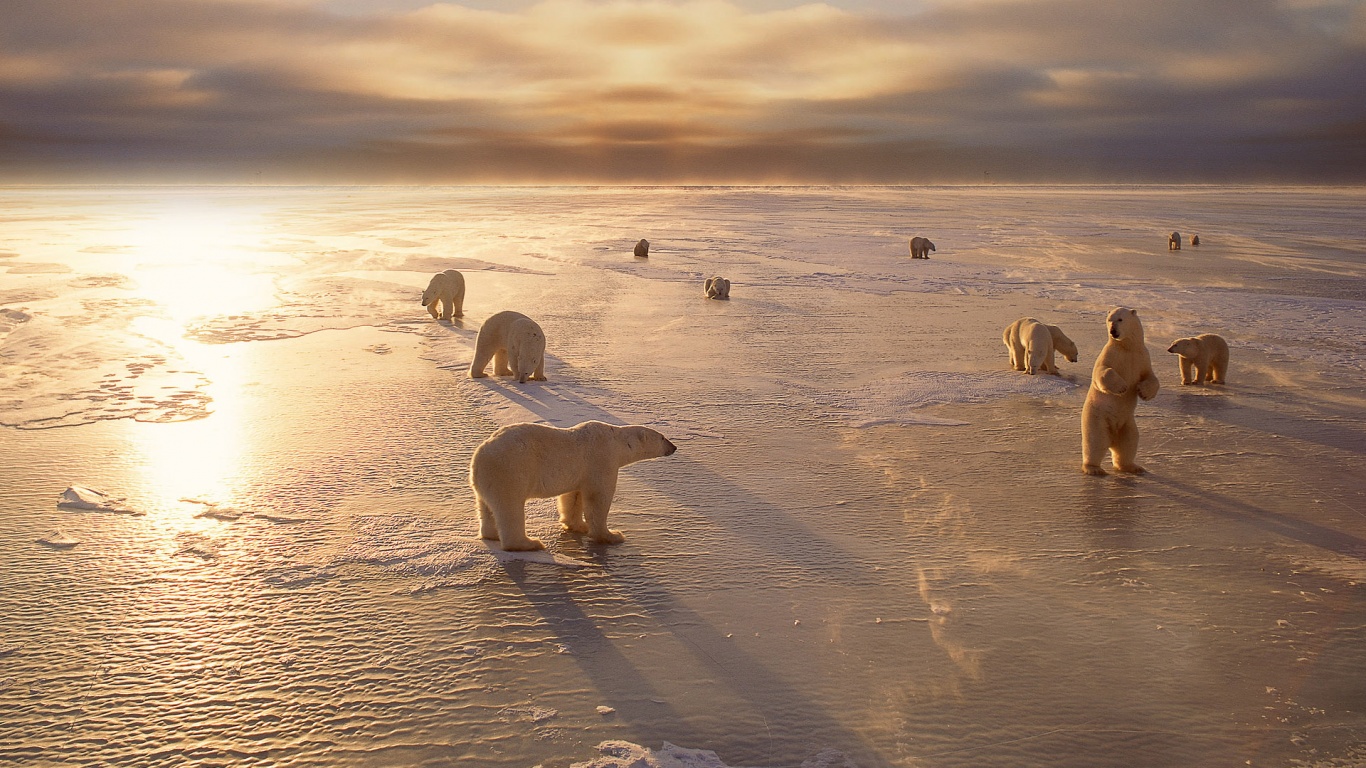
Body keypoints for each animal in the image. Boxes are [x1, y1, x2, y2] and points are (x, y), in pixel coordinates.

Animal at [472, 418, 680, 549]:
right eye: (662, 437)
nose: (674, 447)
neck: (616, 441)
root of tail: (479, 456)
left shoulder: (580, 472)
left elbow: (573, 496)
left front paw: (577, 525)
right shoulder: (602, 459)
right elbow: (598, 499)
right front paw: (612, 535)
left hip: (487, 480)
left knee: (486, 508)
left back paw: (490, 534)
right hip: (510, 472)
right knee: (510, 508)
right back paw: (529, 543)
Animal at [1081, 304, 1158, 472]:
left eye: (1120, 319)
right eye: (1110, 319)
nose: (1113, 331)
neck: (1127, 347)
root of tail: (1112, 438)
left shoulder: (1142, 357)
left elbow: (1151, 377)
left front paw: (1143, 392)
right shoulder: (1110, 354)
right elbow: (1102, 371)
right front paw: (1122, 387)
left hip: (1127, 424)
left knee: (1129, 442)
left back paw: (1133, 467)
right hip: (1097, 418)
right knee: (1095, 442)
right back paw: (1094, 468)